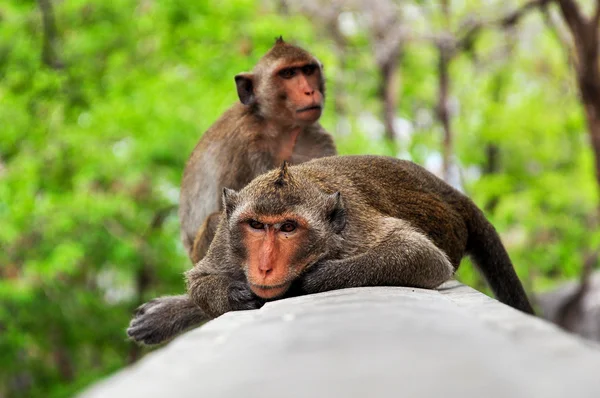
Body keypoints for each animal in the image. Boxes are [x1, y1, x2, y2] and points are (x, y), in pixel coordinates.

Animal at [127, 155, 536, 346]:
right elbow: (200, 279)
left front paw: (302, 282)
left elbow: (420, 255)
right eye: (255, 225)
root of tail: (446, 190)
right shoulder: (227, 241)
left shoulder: (352, 228)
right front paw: (233, 294)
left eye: (288, 228)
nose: (264, 266)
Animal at [178, 35, 338, 262]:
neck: (282, 130)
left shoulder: (318, 140)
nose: (309, 91)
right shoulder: (246, 147)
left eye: (308, 70)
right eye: (288, 74)